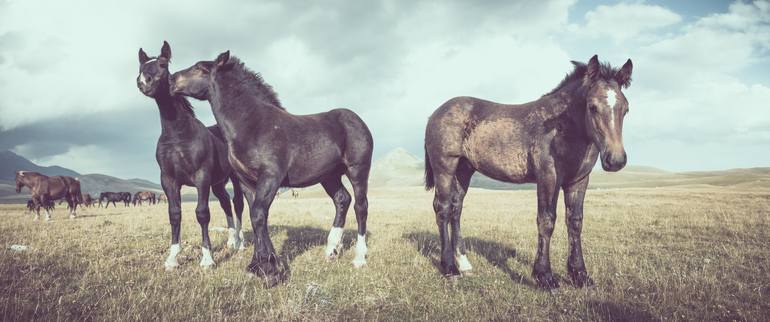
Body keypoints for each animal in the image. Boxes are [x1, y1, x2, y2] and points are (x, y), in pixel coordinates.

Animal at [136, 42, 246, 270]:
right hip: (218, 184)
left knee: (238, 203)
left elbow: (202, 213)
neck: (179, 135)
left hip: (235, 179)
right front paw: (172, 259)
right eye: (141, 67)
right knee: (225, 203)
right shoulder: (168, 180)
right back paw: (231, 241)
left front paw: (207, 259)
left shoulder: (201, 177)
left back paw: (241, 243)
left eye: (162, 64)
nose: (143, 82)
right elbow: (174, 214)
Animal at [170, 49, 372, 286]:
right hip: (329, 177)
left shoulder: (270, 177)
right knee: (342, 200)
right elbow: (256, 216)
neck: (253, 124)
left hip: (358, 170)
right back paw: (332, 250)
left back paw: (359, 258)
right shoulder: (247, 183)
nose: (171, 80)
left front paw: (269, 269)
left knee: (361, 207)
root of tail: (356, 120)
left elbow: (259, 214)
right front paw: (258, 264)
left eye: (200, 68)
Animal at [420, 55, 632, 290]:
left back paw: (464, 263)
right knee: (443, 208)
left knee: (456, 209)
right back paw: (450, 267)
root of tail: (435, 113)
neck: (562, 127)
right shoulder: (548, 177)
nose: (615, 160)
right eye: (592, 107)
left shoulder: (579, 181)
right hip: (445, 168)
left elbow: (575, 222)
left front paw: (580, 274)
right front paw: (545, 276)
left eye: (625, 109)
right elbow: (546, 221)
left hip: (464, 170)